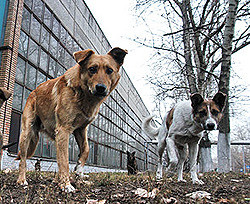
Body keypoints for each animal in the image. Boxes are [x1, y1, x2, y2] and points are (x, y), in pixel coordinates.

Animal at [16, 47, 127, 191]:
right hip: (27, 133)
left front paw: (79, 169)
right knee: (23, 159)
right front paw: (66, 185)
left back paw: (56, 180)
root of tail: (33, 91)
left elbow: (86, 149)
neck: (83, 95)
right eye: (92, 69)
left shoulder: (81, 129)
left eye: (109, 70)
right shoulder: (64, 129)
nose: (101, 88)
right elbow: (64, 161)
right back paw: (22, 180)